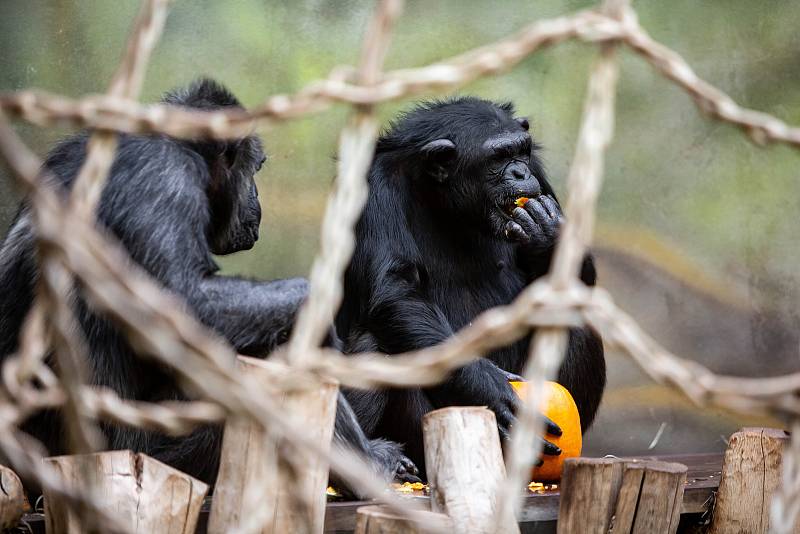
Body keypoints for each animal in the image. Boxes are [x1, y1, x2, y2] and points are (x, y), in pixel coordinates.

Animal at [1, 76, 418, 494]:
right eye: (254, 169)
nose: (256, 197)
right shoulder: (165, 177)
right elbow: (182, 298)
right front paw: (311, 310)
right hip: (152, 450)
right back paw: (366, 463)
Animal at [334, 97, 604, 478]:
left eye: (520, 151)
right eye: (497, 158)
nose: (520, 172)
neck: (446, 201)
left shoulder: (541, 177)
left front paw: (549, 236)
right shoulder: (372, 189)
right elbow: (397, 290)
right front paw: (486, 387)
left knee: (572, 321)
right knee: (375, 342)